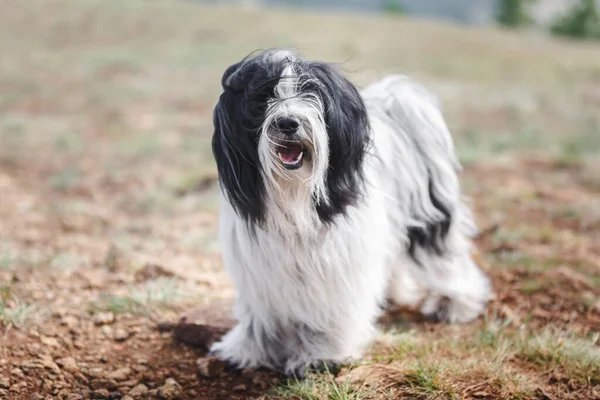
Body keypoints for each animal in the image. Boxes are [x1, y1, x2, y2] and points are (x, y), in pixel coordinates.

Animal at [209, 48, 490, 376]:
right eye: (263, 96)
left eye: (312, 92)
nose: (288, 122)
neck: (294, 194)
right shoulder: (260, 268)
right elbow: (262, 314)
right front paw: (250, 349)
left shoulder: (338, 264)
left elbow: (329, 313)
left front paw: (320, 354)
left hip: (430, 220)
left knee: (446, 259)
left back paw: (456, 302)